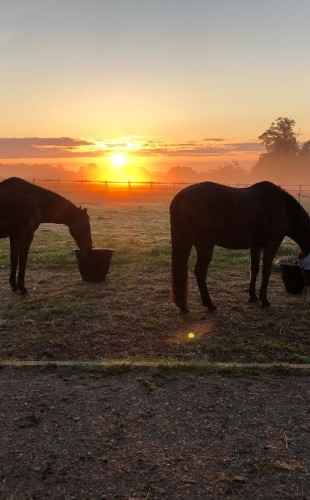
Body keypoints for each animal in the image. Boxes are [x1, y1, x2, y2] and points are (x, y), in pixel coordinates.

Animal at [170, 180, 310, 312]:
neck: (284, 209)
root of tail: (182, 196)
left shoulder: (256, 245)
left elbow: (254, 269)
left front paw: (253, 297)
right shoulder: (272, 244)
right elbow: (266, 271)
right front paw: (264, 300)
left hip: (186, 243)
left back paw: (183, 307)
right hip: (205, 246)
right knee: (200, 272)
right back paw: (210, 305)